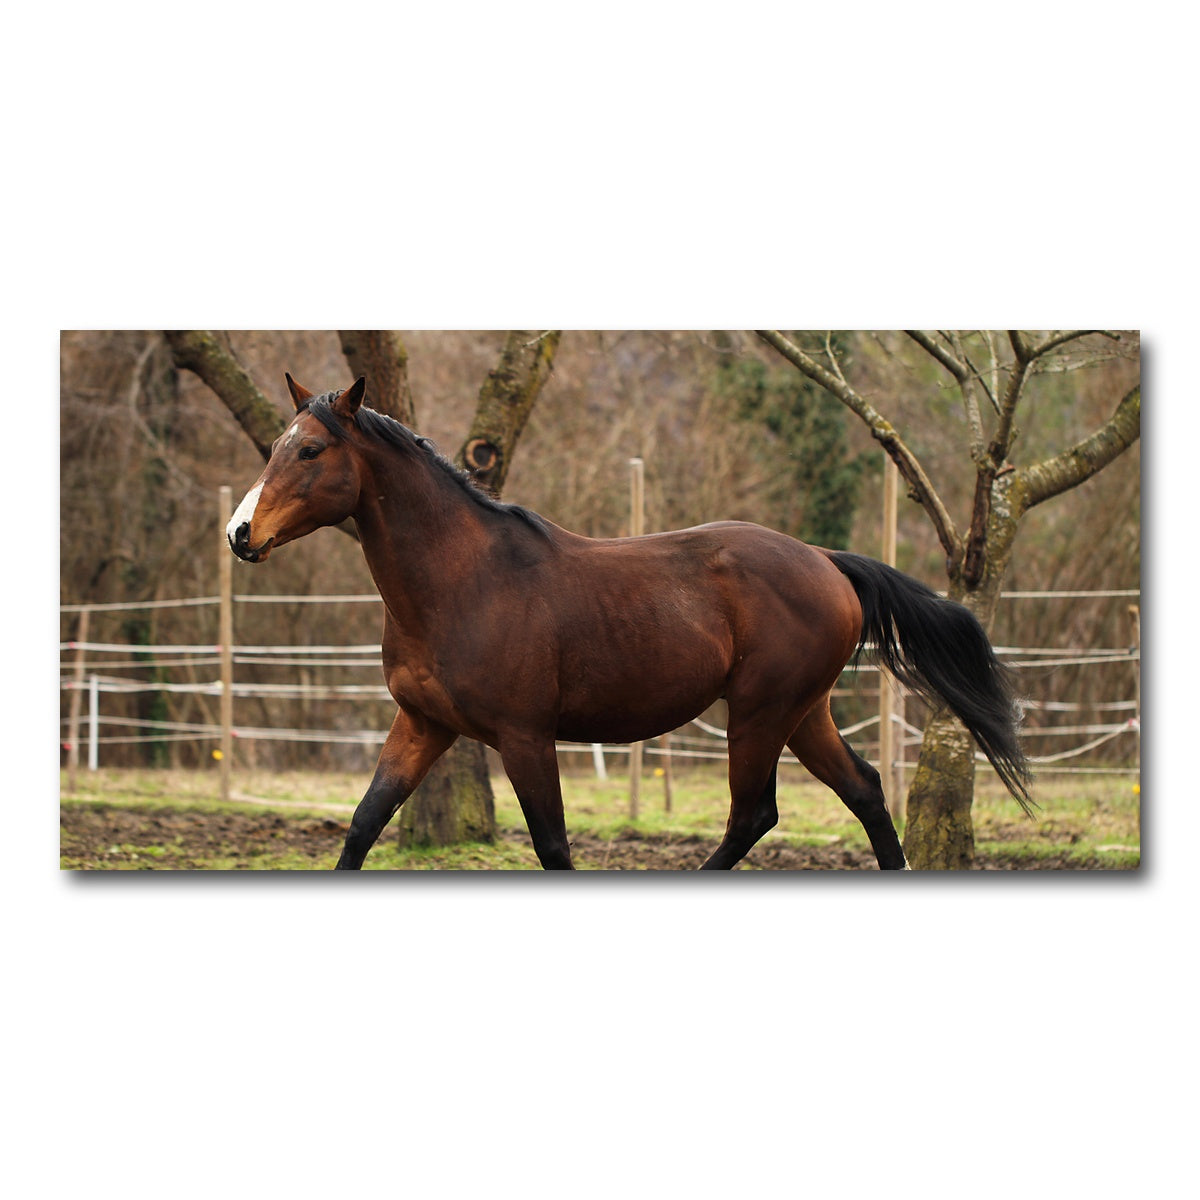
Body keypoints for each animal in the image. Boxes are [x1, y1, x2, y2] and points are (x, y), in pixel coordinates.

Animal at [226, 374, 1032, 871]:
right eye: (273, 448)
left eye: (310, 449)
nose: (239, 534)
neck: (461, 582)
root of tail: (826, 561)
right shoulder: (421, 725)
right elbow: (364, 823)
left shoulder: (524, 737)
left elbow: (553, 845)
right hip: (803, 712)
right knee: (861, 790)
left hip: (760, 712)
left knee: (753, 815)